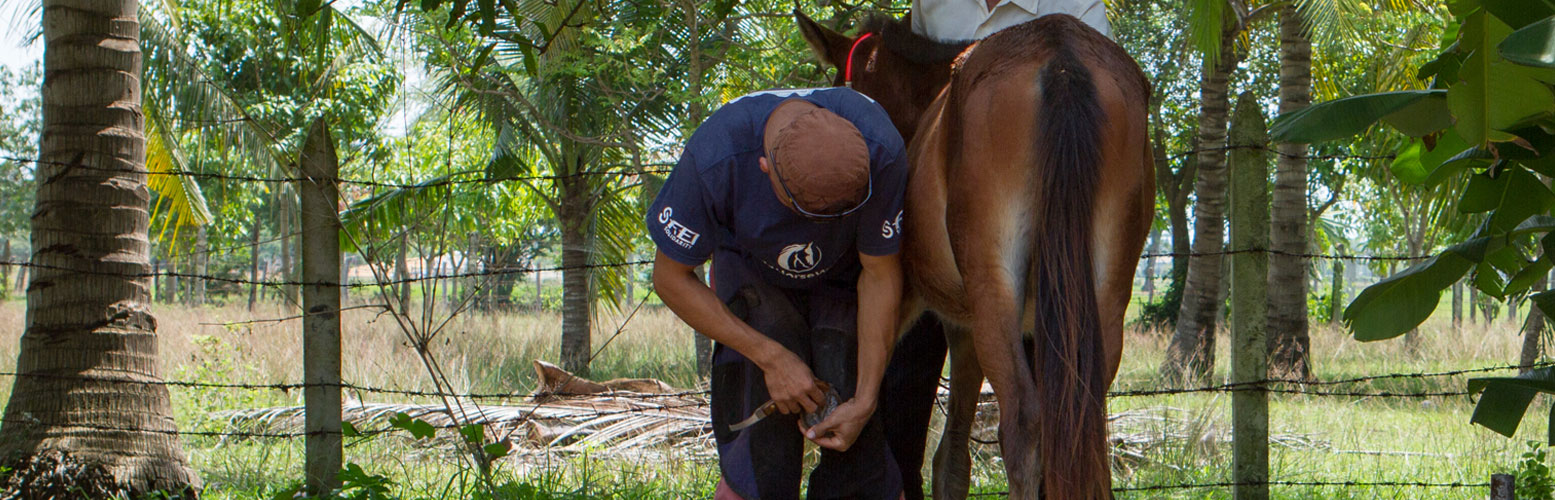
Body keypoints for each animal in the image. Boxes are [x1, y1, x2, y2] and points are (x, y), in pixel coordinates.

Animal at [802, 11, 1156, 500]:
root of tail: (1061, 57)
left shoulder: (947, 318)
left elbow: (941, 454)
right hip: (1102, 294)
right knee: (1079, 419)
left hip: (993, 288)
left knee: (1024, 424)